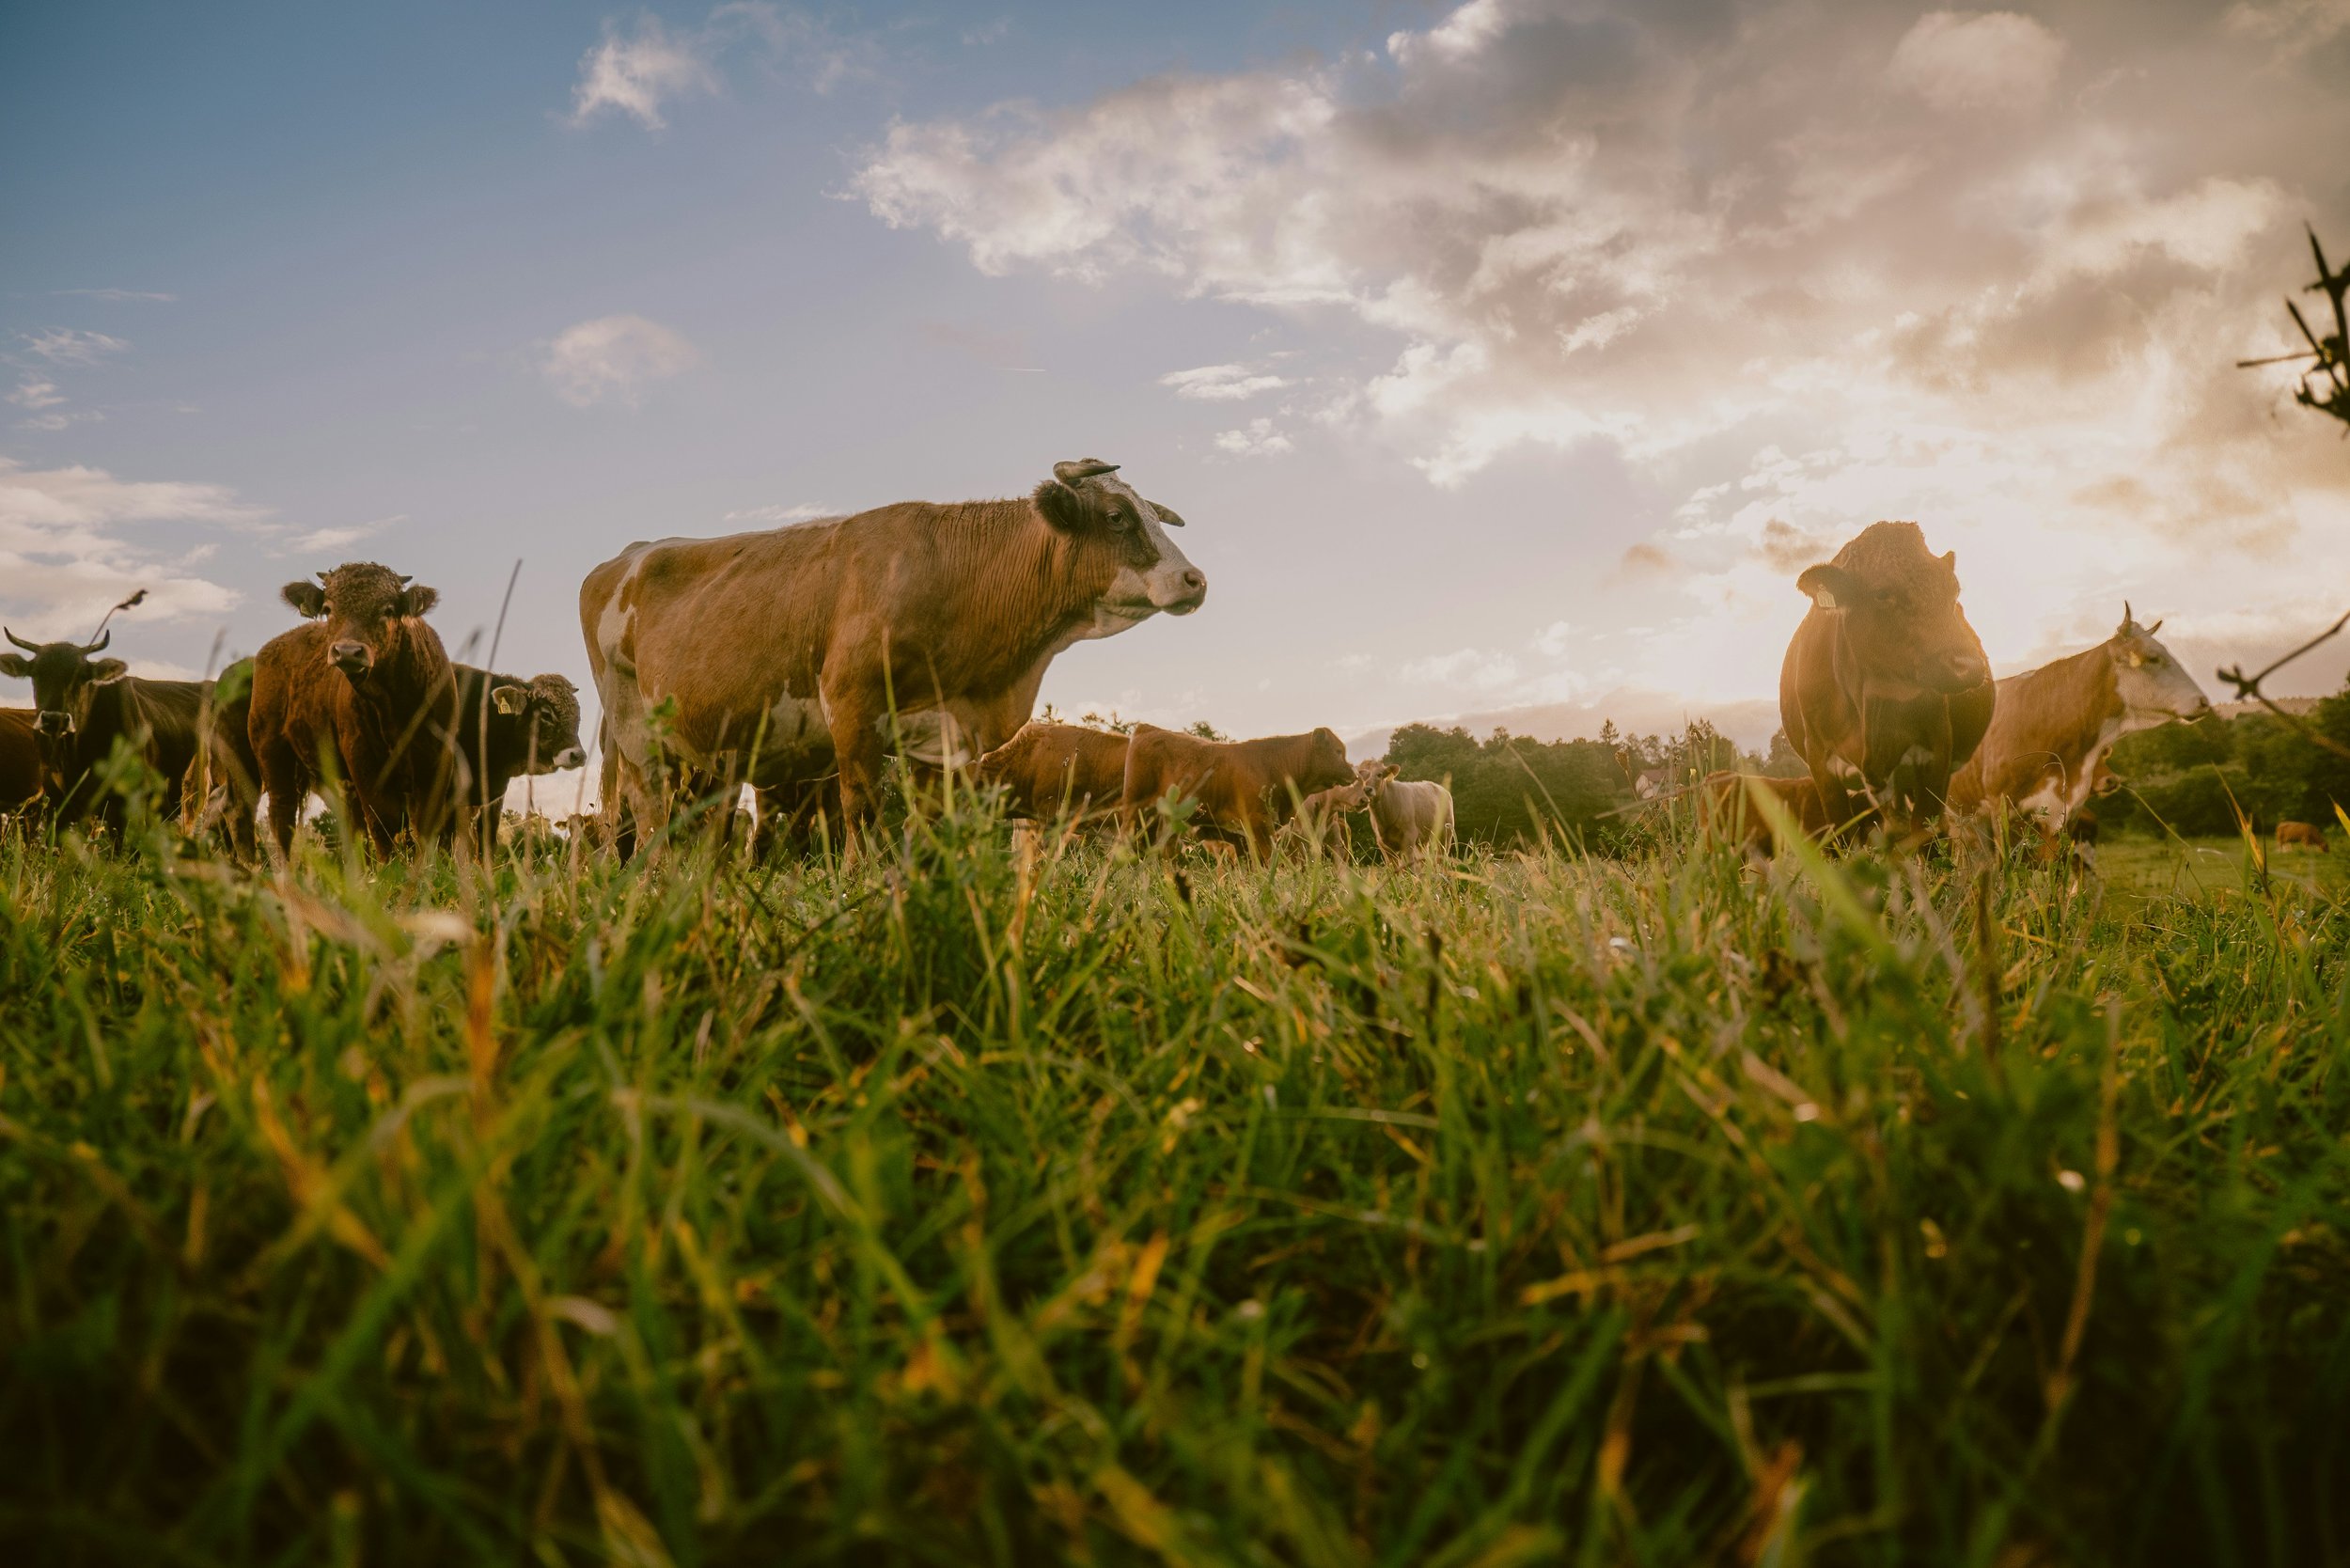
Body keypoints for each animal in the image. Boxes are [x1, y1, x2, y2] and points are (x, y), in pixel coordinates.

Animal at [248, 562, 459, 859]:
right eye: (328, 609)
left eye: (388, 610)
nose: (347, 652)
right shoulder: (363, 760)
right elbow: (384, 824)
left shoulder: (436, 759)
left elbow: (426, 828)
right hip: (273, 755)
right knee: (282, 819)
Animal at [1120, 724, 1354, 861]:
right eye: (1338, 752)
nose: (1354, 774)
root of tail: (1148, 728)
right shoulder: (1259, 819)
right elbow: (1270, 856)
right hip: (1135, 807)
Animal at [1778, 521, 1993, 838]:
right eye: (1881, 593)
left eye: (1953, 590)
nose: (1968, 666)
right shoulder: (1819, 759)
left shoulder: (1937, 750)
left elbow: (1926, 833)